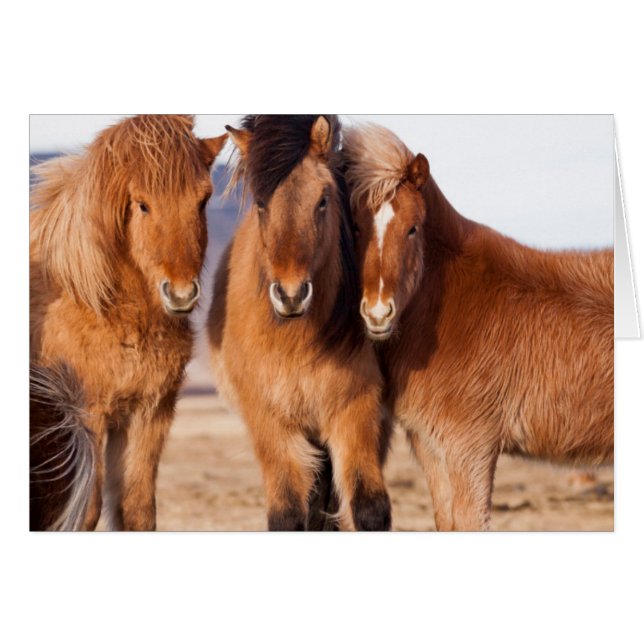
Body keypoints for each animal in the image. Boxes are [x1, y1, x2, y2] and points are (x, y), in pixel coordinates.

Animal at [30, 115, 227, 530]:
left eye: (203, 200)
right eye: (142, 204)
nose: (181, 294)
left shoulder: (149, 413)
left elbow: (137, 510)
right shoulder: (87, 415)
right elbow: (86, 510)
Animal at [207, 115, 391, 530]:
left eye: (323, 200)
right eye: (261, 203)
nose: (291, 295)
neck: (295, 341)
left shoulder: (356, 409)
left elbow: (370, 508)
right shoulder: (269, 420)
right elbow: (288, 513)